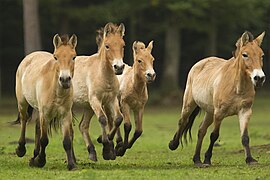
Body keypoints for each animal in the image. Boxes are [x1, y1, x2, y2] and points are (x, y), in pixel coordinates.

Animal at [15, 33, 77, 170]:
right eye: (55, 57)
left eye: (74, 57)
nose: (65, 79)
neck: (57, 92)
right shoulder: (46, 114)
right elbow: (44, 140)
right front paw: (40, 161)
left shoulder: (66, 115)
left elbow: (67, 141)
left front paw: (71, 165)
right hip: (23, 103)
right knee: (24, 120)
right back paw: (21, 149)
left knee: (37, 126)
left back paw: (34, 155)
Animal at [73, 22, 125, 162]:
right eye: (107, 46)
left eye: (123, 45)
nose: (119, 67)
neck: (103, 75)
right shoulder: (96, 100)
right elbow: (103, 119)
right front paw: (106, 146)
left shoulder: (111, 99)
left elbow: (118, 118)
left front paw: (107, 143)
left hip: (87, 107)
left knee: (83, 126)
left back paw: (92, 152)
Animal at [169, 31, 266, 167]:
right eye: (245, 55)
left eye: (262, 55)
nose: (259, 78)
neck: (237, 86)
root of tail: (200, 63)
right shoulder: (220, 113)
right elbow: (214, 135)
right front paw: (207, 159)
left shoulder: (245, 111)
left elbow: (245, 137)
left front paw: (250, 159)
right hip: (189, 105)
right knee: (182, 121)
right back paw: (173, 145)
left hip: (210, 112)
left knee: (201, 130)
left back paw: (197, 160)